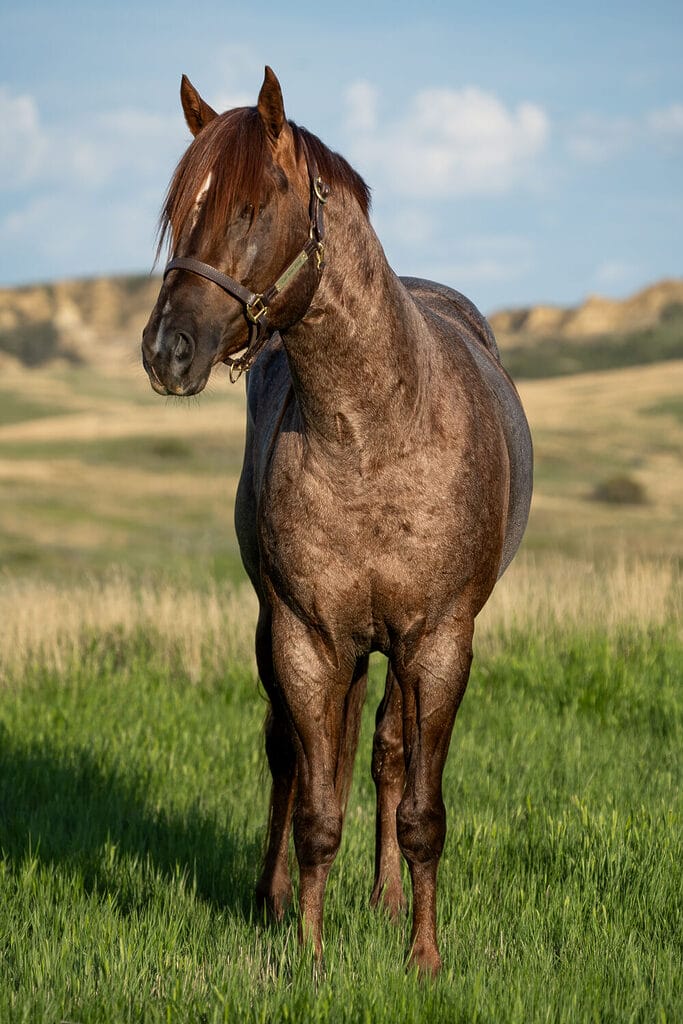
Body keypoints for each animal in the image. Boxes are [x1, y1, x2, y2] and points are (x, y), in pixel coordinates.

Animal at [140, 66, 532, 974]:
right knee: (295, 757)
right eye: (179, 211)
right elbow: (316, 807)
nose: (166, 350)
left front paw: (422, 958)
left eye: (251, 207)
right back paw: (273, 898)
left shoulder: (437, 641)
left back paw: (386, 901)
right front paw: (311, 959)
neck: (371, 436)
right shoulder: (307, 637)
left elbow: (421, 809)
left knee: (385, 756)